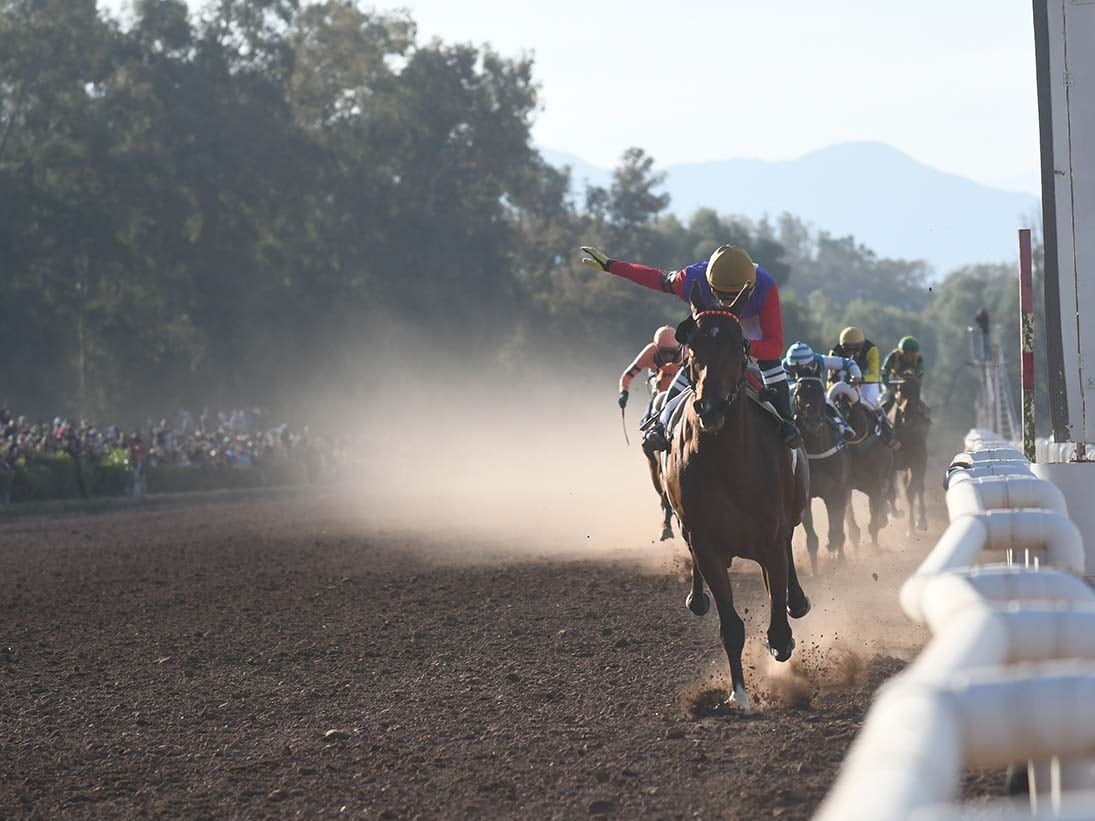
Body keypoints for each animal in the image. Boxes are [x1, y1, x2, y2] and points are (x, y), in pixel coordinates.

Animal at [657, 288, 814, 713]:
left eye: (739, 343)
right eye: (691, 343)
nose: (710, 408)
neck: (727, 459)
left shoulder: (771, 538)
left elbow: (779, 630)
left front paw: (785, 635)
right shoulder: (706, 543)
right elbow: (731, 627)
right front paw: (738, 696)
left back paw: (797, 602)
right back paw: (696, 597)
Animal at [792, 376, 849, 573]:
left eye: (819, 390)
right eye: (800, 392)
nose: (813, 420)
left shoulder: (837, 491)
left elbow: (837, 529)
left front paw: (840, 559)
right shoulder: (805, 497)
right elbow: (812, 540)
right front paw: (816, 574)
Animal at [832, 385, 893, 547]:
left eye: (846, 409)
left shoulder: (875, 487)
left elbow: (874, 523)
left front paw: (875, 549)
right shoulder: (845, 487)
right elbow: (851, 523)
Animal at [884, 372, 928, 534]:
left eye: (917, 390)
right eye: (900, 389)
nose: (907, 410)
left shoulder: (919, 459)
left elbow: (912, 491)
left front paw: (912, 528)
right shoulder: (891, 463)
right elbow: (891, 491)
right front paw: (896, 513)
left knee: (919, 487)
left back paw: (922, 520)